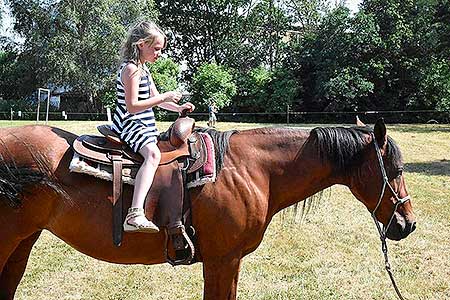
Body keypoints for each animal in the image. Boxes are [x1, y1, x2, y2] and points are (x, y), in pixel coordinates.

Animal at [0, 118, 414, 298]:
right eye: (395, 170)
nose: (406, 224)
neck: (251, 169)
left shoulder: (225, 261)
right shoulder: (223, 260)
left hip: (23, 242)